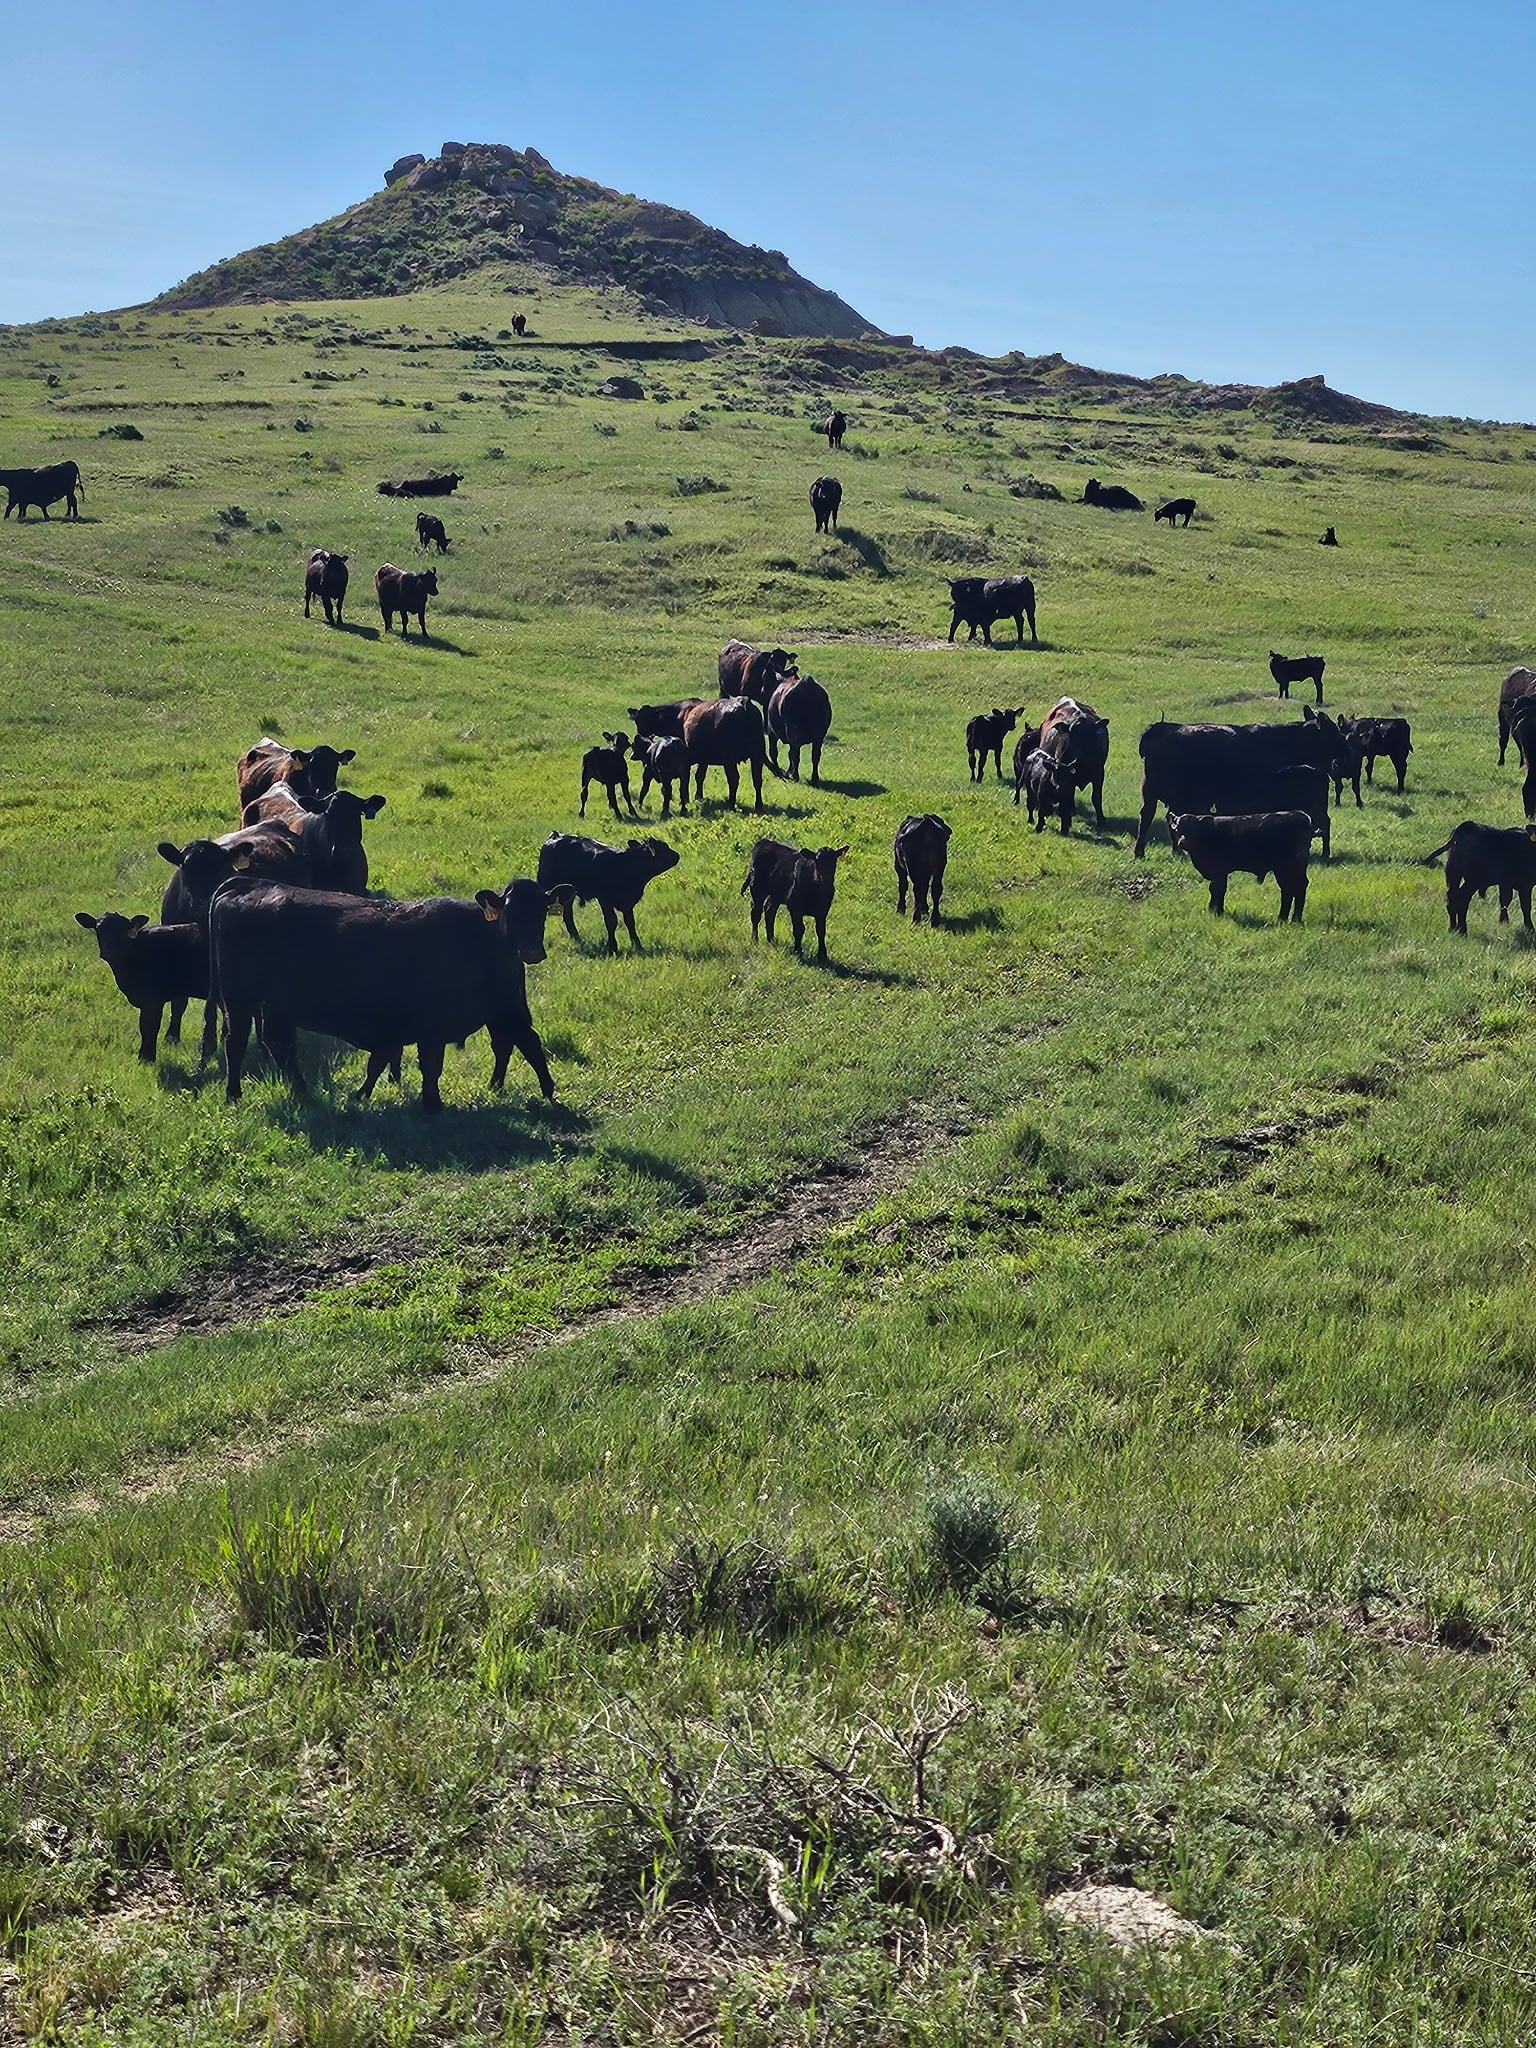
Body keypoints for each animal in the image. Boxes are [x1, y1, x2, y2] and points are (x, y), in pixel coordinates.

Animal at [74, 912, 215, 1063]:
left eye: (122, 930)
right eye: (99, 928)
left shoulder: (153, 1000)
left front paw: (146, 1057)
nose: (109, 951)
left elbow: (149, 1027)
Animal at [210, 876, 564, 1111]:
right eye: (510, 910)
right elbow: (429, 1065)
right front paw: (432, 1105)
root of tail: (246, 884)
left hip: (273, 1004)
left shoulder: (501, 1008)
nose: (532, 951)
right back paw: (234, 1094)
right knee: (236, 1042)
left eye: (542, 912)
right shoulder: (433, 1026)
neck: (477, 937)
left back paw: (302, 1092)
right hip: (239, 1001)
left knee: (279, 1046)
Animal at [536, 833, 680, 953]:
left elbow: (630, 923)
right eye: (663, 848)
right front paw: (612, 947)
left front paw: (638, 945)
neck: (624, 865)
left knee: (568, 914)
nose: (677, 855)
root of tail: (556, 836)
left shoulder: (627, 903)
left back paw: (577, 937)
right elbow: (611, 921)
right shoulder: (604, 899)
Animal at [1039, 696, 1109, 828]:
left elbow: (1096, 797)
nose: (1078, 753)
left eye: (1089, 735)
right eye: (1071, 734)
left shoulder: (1099, 773)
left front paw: (1101, 820)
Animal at [1168, 810, 1312, 922]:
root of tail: (1300, 815)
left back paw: (1286, 918)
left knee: (1290, 889)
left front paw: (1217, 911)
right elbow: (1215, 889)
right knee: (1295, 888)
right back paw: (1292, 919)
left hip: (1285, 868)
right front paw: (1213, 910)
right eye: (1178, 829)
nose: (1183, 842)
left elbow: (1217, 889)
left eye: (1194, 830)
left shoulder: (1219, 871)